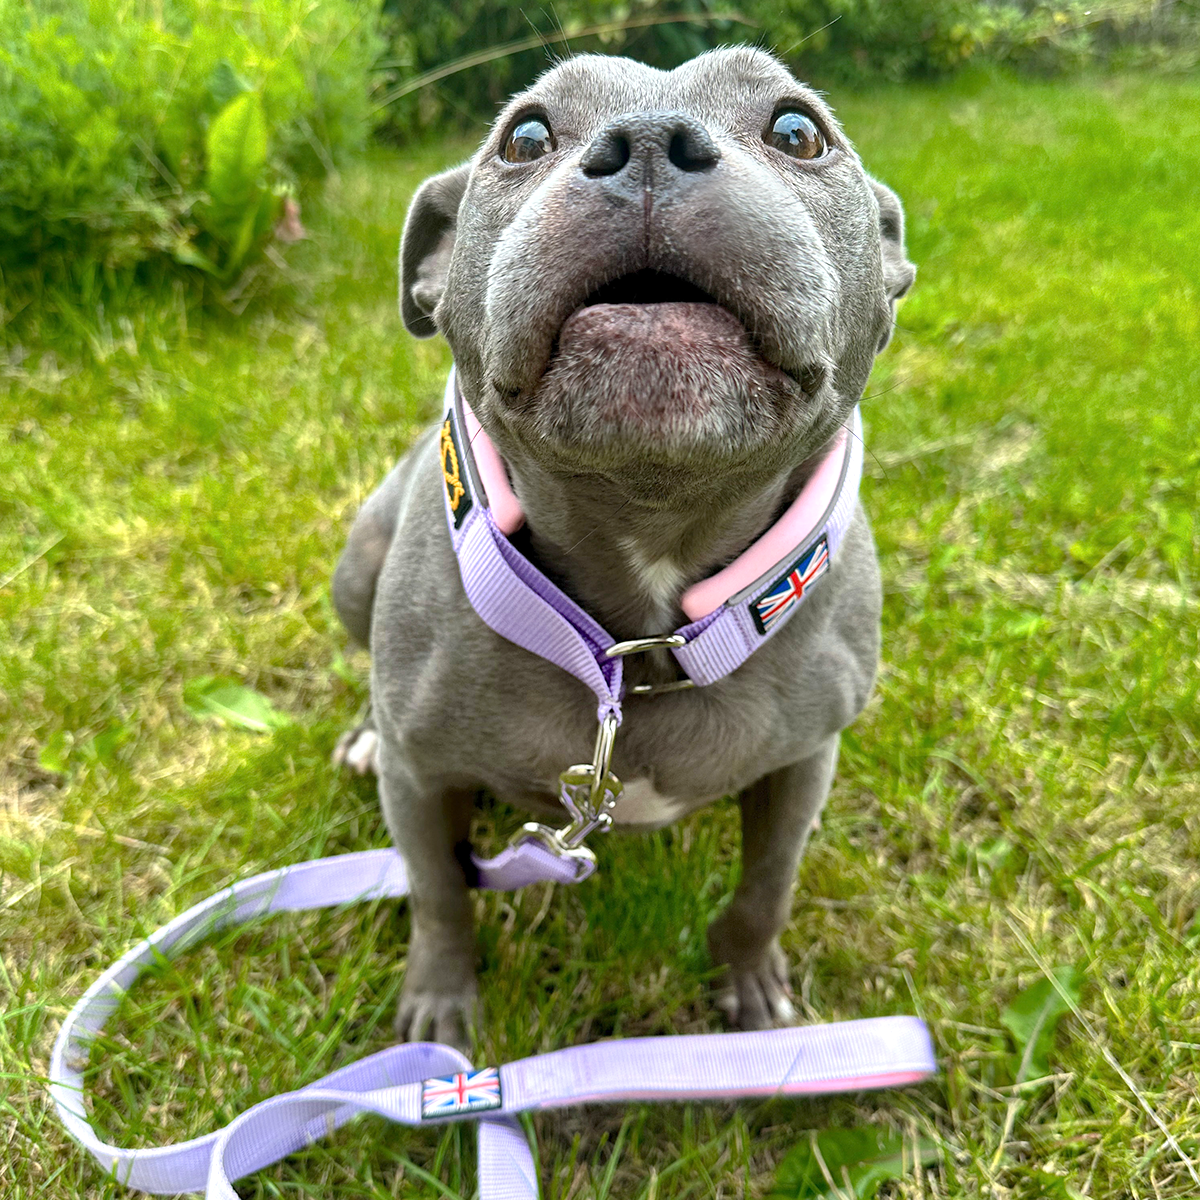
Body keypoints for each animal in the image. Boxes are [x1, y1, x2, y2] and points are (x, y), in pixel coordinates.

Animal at [333, 44, 912, 1051]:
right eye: (526, 136)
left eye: (798, 130)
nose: (646, 140)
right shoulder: (422, 777)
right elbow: (439, 892)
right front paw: (439, 1012)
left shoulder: (804, 763)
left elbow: (767, 889)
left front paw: (751, 988)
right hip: (355, 563)